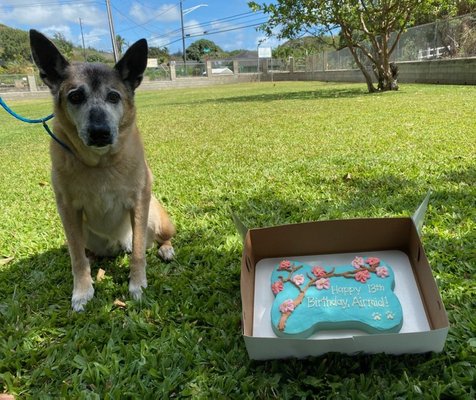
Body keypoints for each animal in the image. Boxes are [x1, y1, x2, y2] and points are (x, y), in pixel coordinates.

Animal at [30, 30, 178, 312]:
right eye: (75, 97)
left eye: (114, 97)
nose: (100, 132)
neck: (100, 164)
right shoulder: (68, 210)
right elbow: (76, 258)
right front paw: (82, 291)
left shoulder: (139, 203)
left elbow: (140, 253)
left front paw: (137, 284)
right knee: (83, 252)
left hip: (156, 217)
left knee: (155, 240)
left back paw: (165, 249)